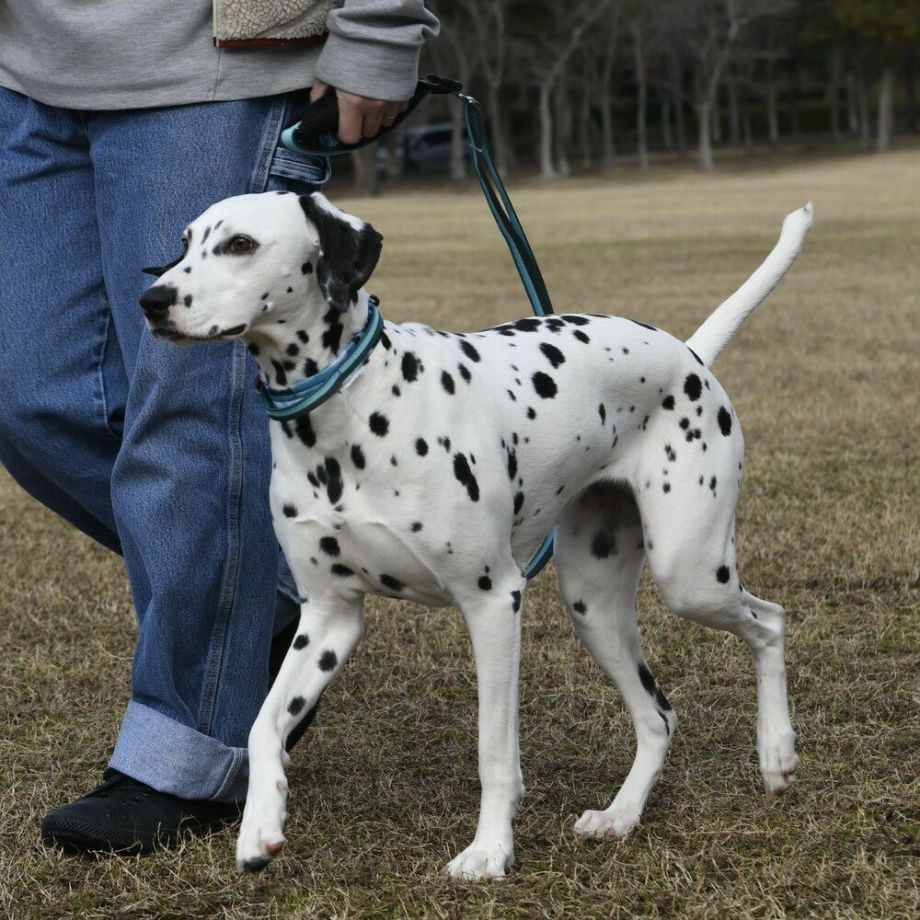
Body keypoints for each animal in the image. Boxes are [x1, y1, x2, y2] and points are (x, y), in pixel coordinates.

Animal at [137, 190, 812, 880]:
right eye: (186, 242)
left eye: (240, 245)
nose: (152, 301)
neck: (351, 413)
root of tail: (688, 354)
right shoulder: (328, 618)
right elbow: (262, 724)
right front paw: (261, 824)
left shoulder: (492, 602)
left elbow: (494, 752)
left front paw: (489, 850)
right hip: (594, 604)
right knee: (658, 717)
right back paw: (621, 815)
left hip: (690, 574)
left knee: (770, 622)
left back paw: (776, 752)